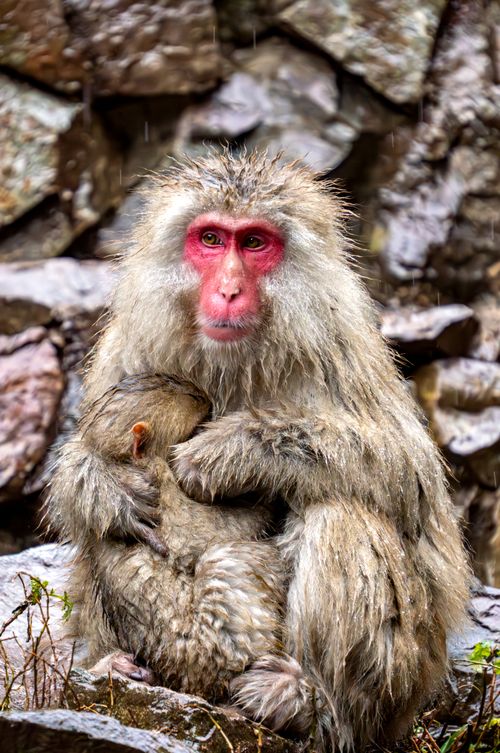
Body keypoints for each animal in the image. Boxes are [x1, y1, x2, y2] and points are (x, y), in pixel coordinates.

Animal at [55, 373, 284, 698]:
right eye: (196, 428)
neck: (132, 461)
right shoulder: (161, 492)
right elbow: (203, 534)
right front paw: (268, 501)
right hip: (212, 648)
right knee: (227, 559)